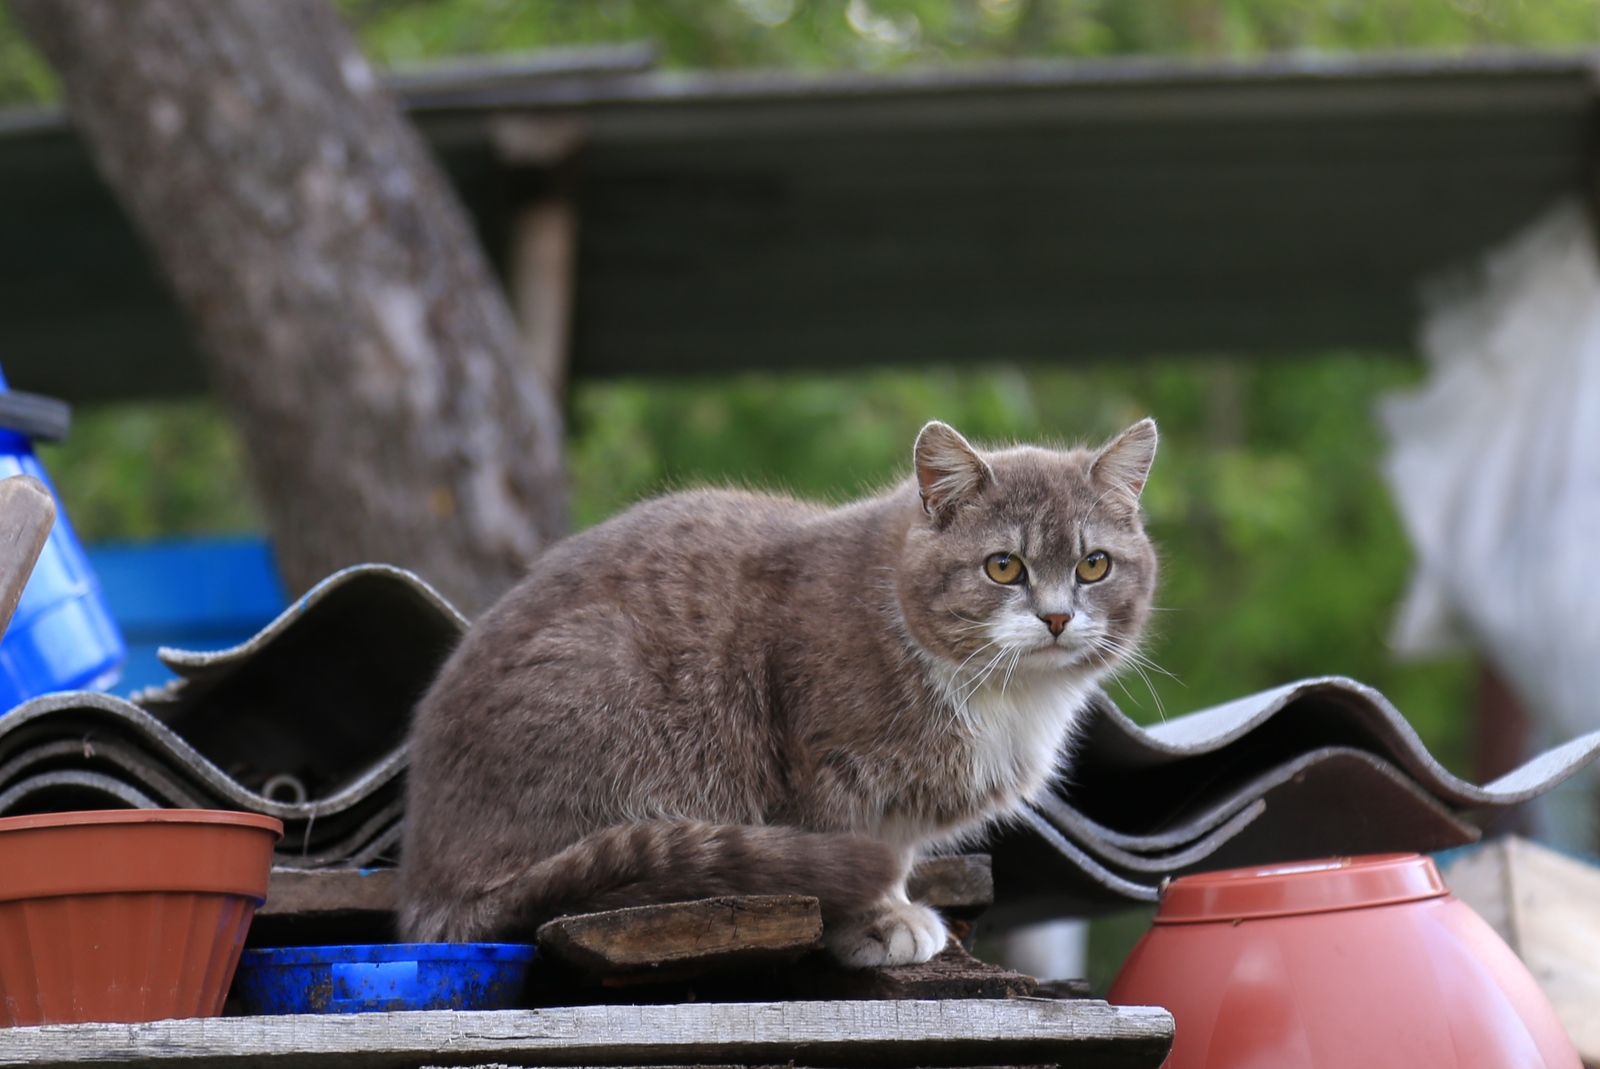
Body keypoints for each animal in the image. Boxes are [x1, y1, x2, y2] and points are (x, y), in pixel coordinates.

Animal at [395, 419, 1158, 966]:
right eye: (1003, 566)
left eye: (1094, 564)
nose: (1056, 617)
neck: (1006, 692)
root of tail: (430, 884)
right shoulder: (820, 762)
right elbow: (851, 845)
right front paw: (876, 920)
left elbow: (895, 849)